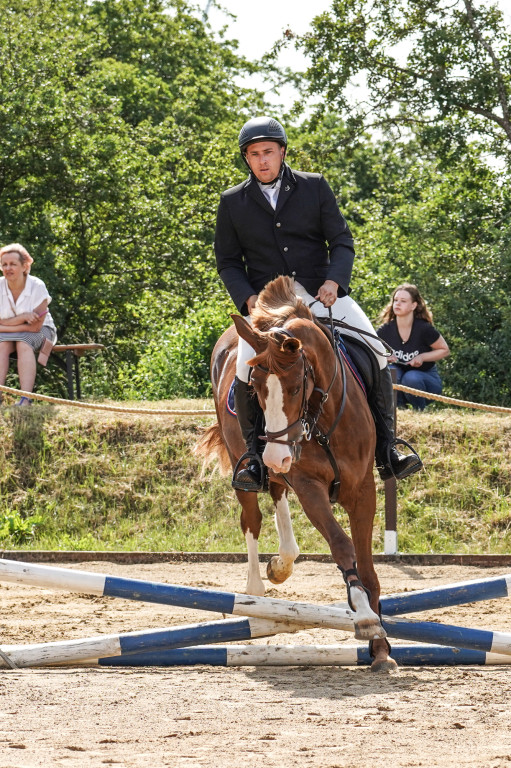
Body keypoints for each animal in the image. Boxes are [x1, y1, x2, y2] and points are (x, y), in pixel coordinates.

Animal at [197, 278, 396, 672]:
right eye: (254, 389)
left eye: (294, 388)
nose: (276, 456)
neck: (322, 419)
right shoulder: (309, 486)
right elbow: (341, 545)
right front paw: (366, 619)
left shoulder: (362, 488)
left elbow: (366, 564)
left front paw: (380, 649)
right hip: (244, 463)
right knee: (253, 518)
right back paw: (257, 588)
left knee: (277, 496)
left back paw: (282, 563)